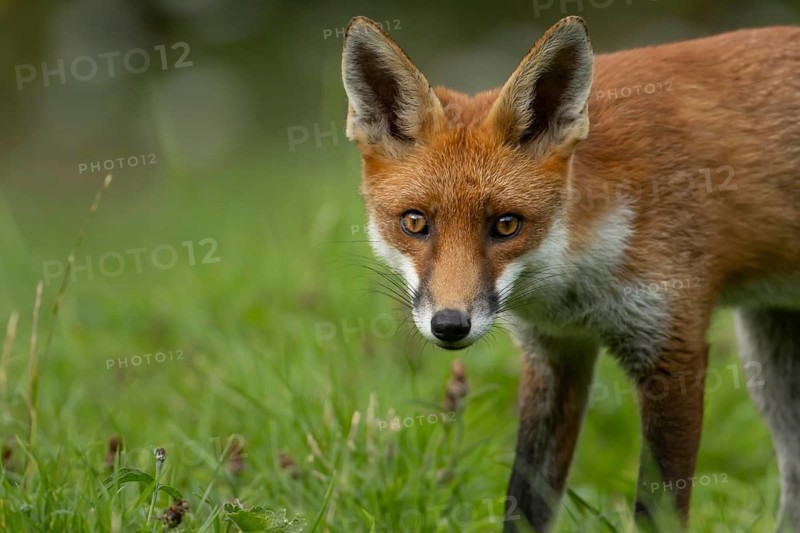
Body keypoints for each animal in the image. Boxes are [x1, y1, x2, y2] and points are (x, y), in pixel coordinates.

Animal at [341, 15, 800, 532]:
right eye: (415, 222)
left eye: (506, 225)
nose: (450, 325)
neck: (577, 280)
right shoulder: (555, 354)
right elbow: (523, 504)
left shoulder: (672, 348)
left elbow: (655, 510)